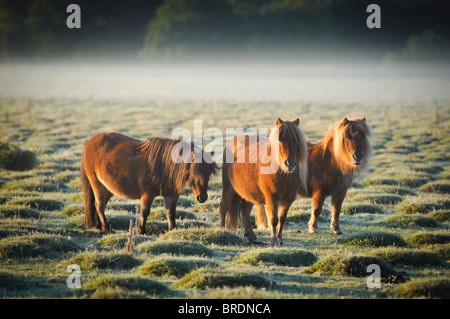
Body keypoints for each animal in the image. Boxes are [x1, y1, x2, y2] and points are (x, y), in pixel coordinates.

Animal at [81, 132, 218, 235]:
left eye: (208, 174)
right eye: (194, 172)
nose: (202, 197)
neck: (164, 166)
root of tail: (89, 142)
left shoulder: (171, 195)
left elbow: (171, 213)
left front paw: (171, 231)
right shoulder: (148, 194)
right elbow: (145, 211)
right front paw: (141, 230)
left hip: (108, 189)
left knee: (102, 205)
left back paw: (100, 226)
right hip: (97, 184)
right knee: (99, 205)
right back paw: (105, 228)